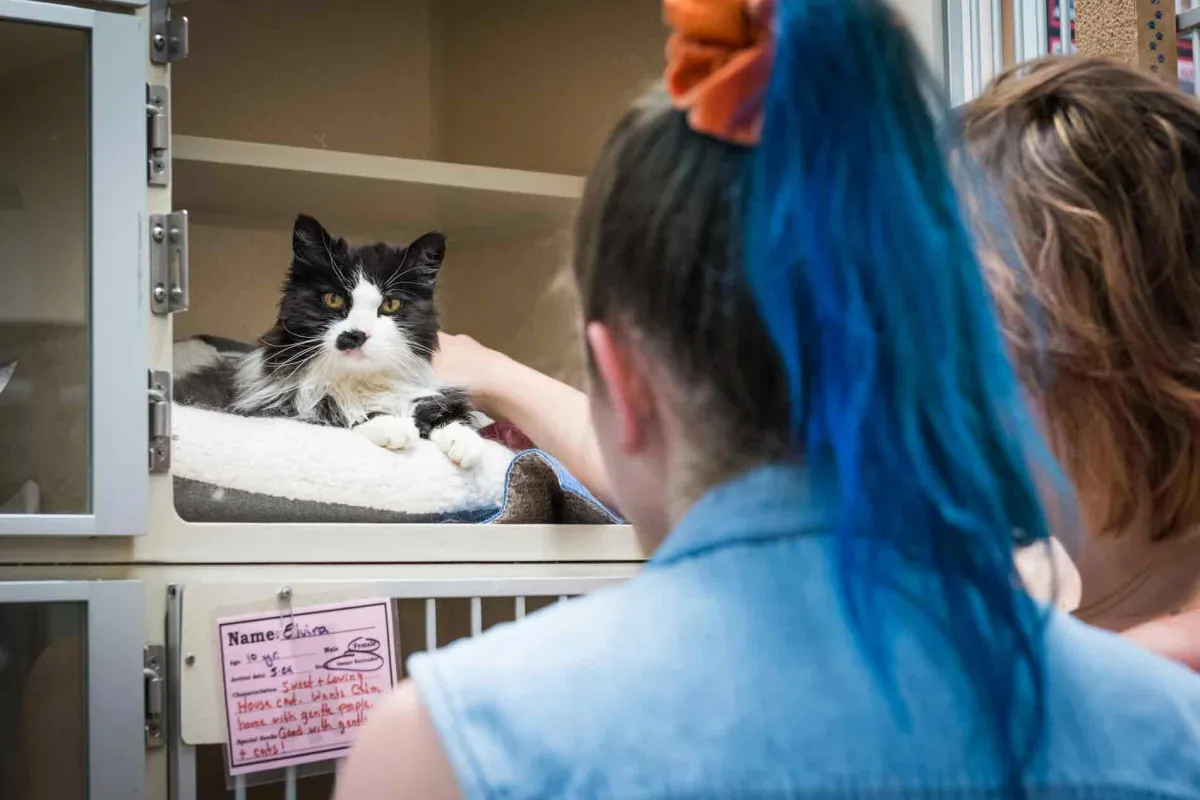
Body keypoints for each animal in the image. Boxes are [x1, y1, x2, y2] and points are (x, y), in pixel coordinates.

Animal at [174, 212, 482, 470]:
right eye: (333, 299)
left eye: (391, 304)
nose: (356, 334)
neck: (358, 383)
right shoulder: (272, 404)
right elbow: (333, 409)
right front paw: (391, 425)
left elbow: (442, 410)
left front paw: (466, 441)